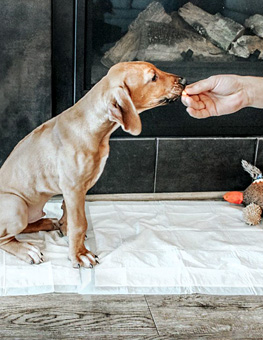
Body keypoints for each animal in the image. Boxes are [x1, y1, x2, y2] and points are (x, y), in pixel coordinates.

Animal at [0, 61, 186, 268]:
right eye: (153, 77)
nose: (184, 80)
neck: (94, 127)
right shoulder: (73, 188)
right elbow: (80, 223)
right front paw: (79, 254)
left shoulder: (75, 190)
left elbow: (70, 215)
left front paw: (66, 229)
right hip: (16, 205)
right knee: (6, 238)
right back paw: (26, 249)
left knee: (25, 226)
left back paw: (46, 223)